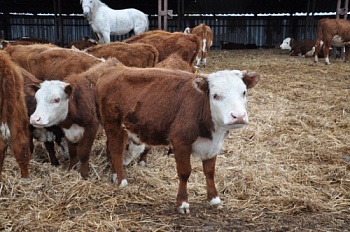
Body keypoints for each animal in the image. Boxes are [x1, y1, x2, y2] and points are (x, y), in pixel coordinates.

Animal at [95, 63, 260, 214]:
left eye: (244, 92)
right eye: (215, 95)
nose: (238, 116)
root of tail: (112, 70)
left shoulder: (213, 145)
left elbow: (210, 171)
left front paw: (214, 198)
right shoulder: (181, 142)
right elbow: (185, 172)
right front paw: (182, 203)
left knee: (112, 148)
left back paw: (115, 175)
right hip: (112, 124)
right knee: (116, 150)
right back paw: (122, 180)